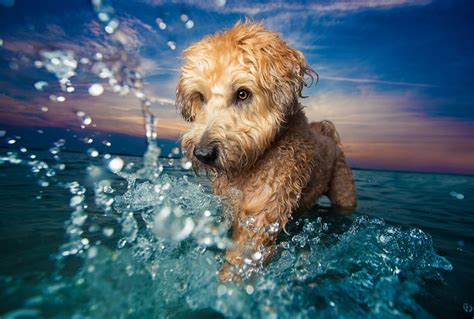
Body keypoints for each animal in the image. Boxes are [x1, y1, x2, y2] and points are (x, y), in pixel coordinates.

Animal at [177, 21, 356, 282]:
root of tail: (327, 135)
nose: (203, 154)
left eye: (242, 93)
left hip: (344, 189)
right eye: (201, 96)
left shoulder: (262, 214)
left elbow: (243, 256)